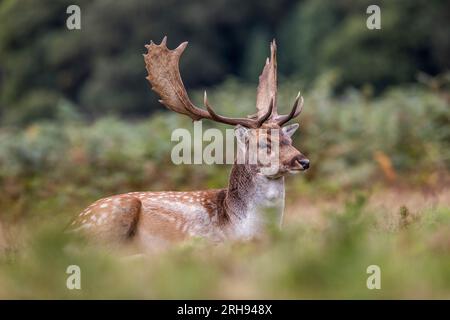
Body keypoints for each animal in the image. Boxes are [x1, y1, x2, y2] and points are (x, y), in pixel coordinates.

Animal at [69, 36, 310, 249]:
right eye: (264, 143)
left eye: (289, 139)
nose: (304, 161)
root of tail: (71, 225)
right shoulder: (205, 240)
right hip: (111, 215)